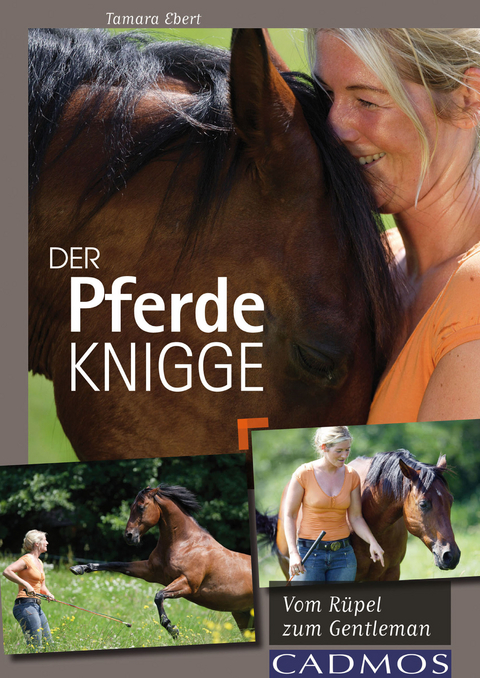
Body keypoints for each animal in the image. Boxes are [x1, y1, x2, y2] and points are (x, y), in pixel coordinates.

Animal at [70, 484, 254, 638]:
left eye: (141, 506)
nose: (129, 536)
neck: (186, 544)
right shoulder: (149, 571)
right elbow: (115, 565)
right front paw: (80, 568)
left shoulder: (188, 584)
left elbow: (158, 596)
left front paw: (172, 629)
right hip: (242, 616)